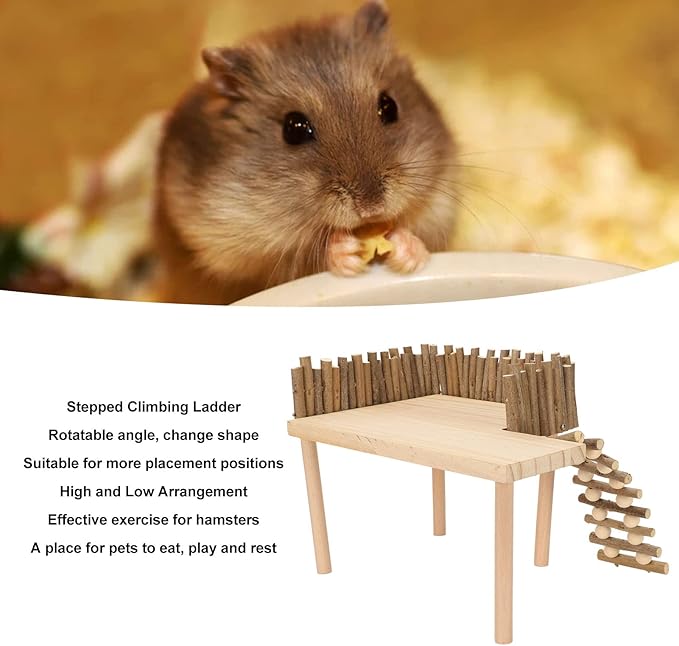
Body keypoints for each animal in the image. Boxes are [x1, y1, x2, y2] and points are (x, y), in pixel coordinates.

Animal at [155, 1, 457, 304]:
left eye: (389, 106)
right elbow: (303, 257)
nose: (371, 207)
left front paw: (407, 253)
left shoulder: (441, 202)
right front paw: (345, 252)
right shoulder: (247, 253)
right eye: (294, 129)